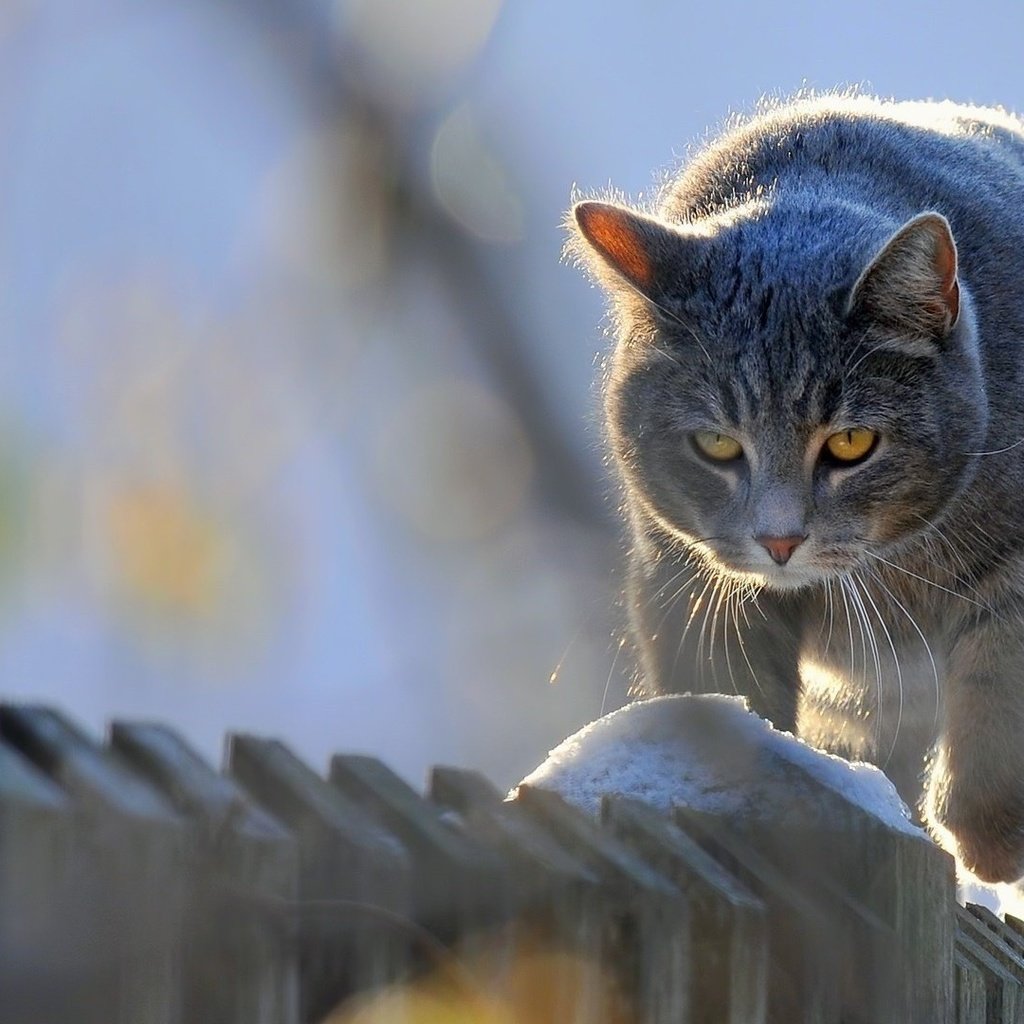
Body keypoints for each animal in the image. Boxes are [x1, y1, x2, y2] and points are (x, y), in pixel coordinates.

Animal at [569, 92, 1024, 884]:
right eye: (717, 444)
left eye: (850, 443)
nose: (779, 540)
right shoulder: (688, 579)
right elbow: (730, 697)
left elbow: (1002, 684)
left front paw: (987, 838)